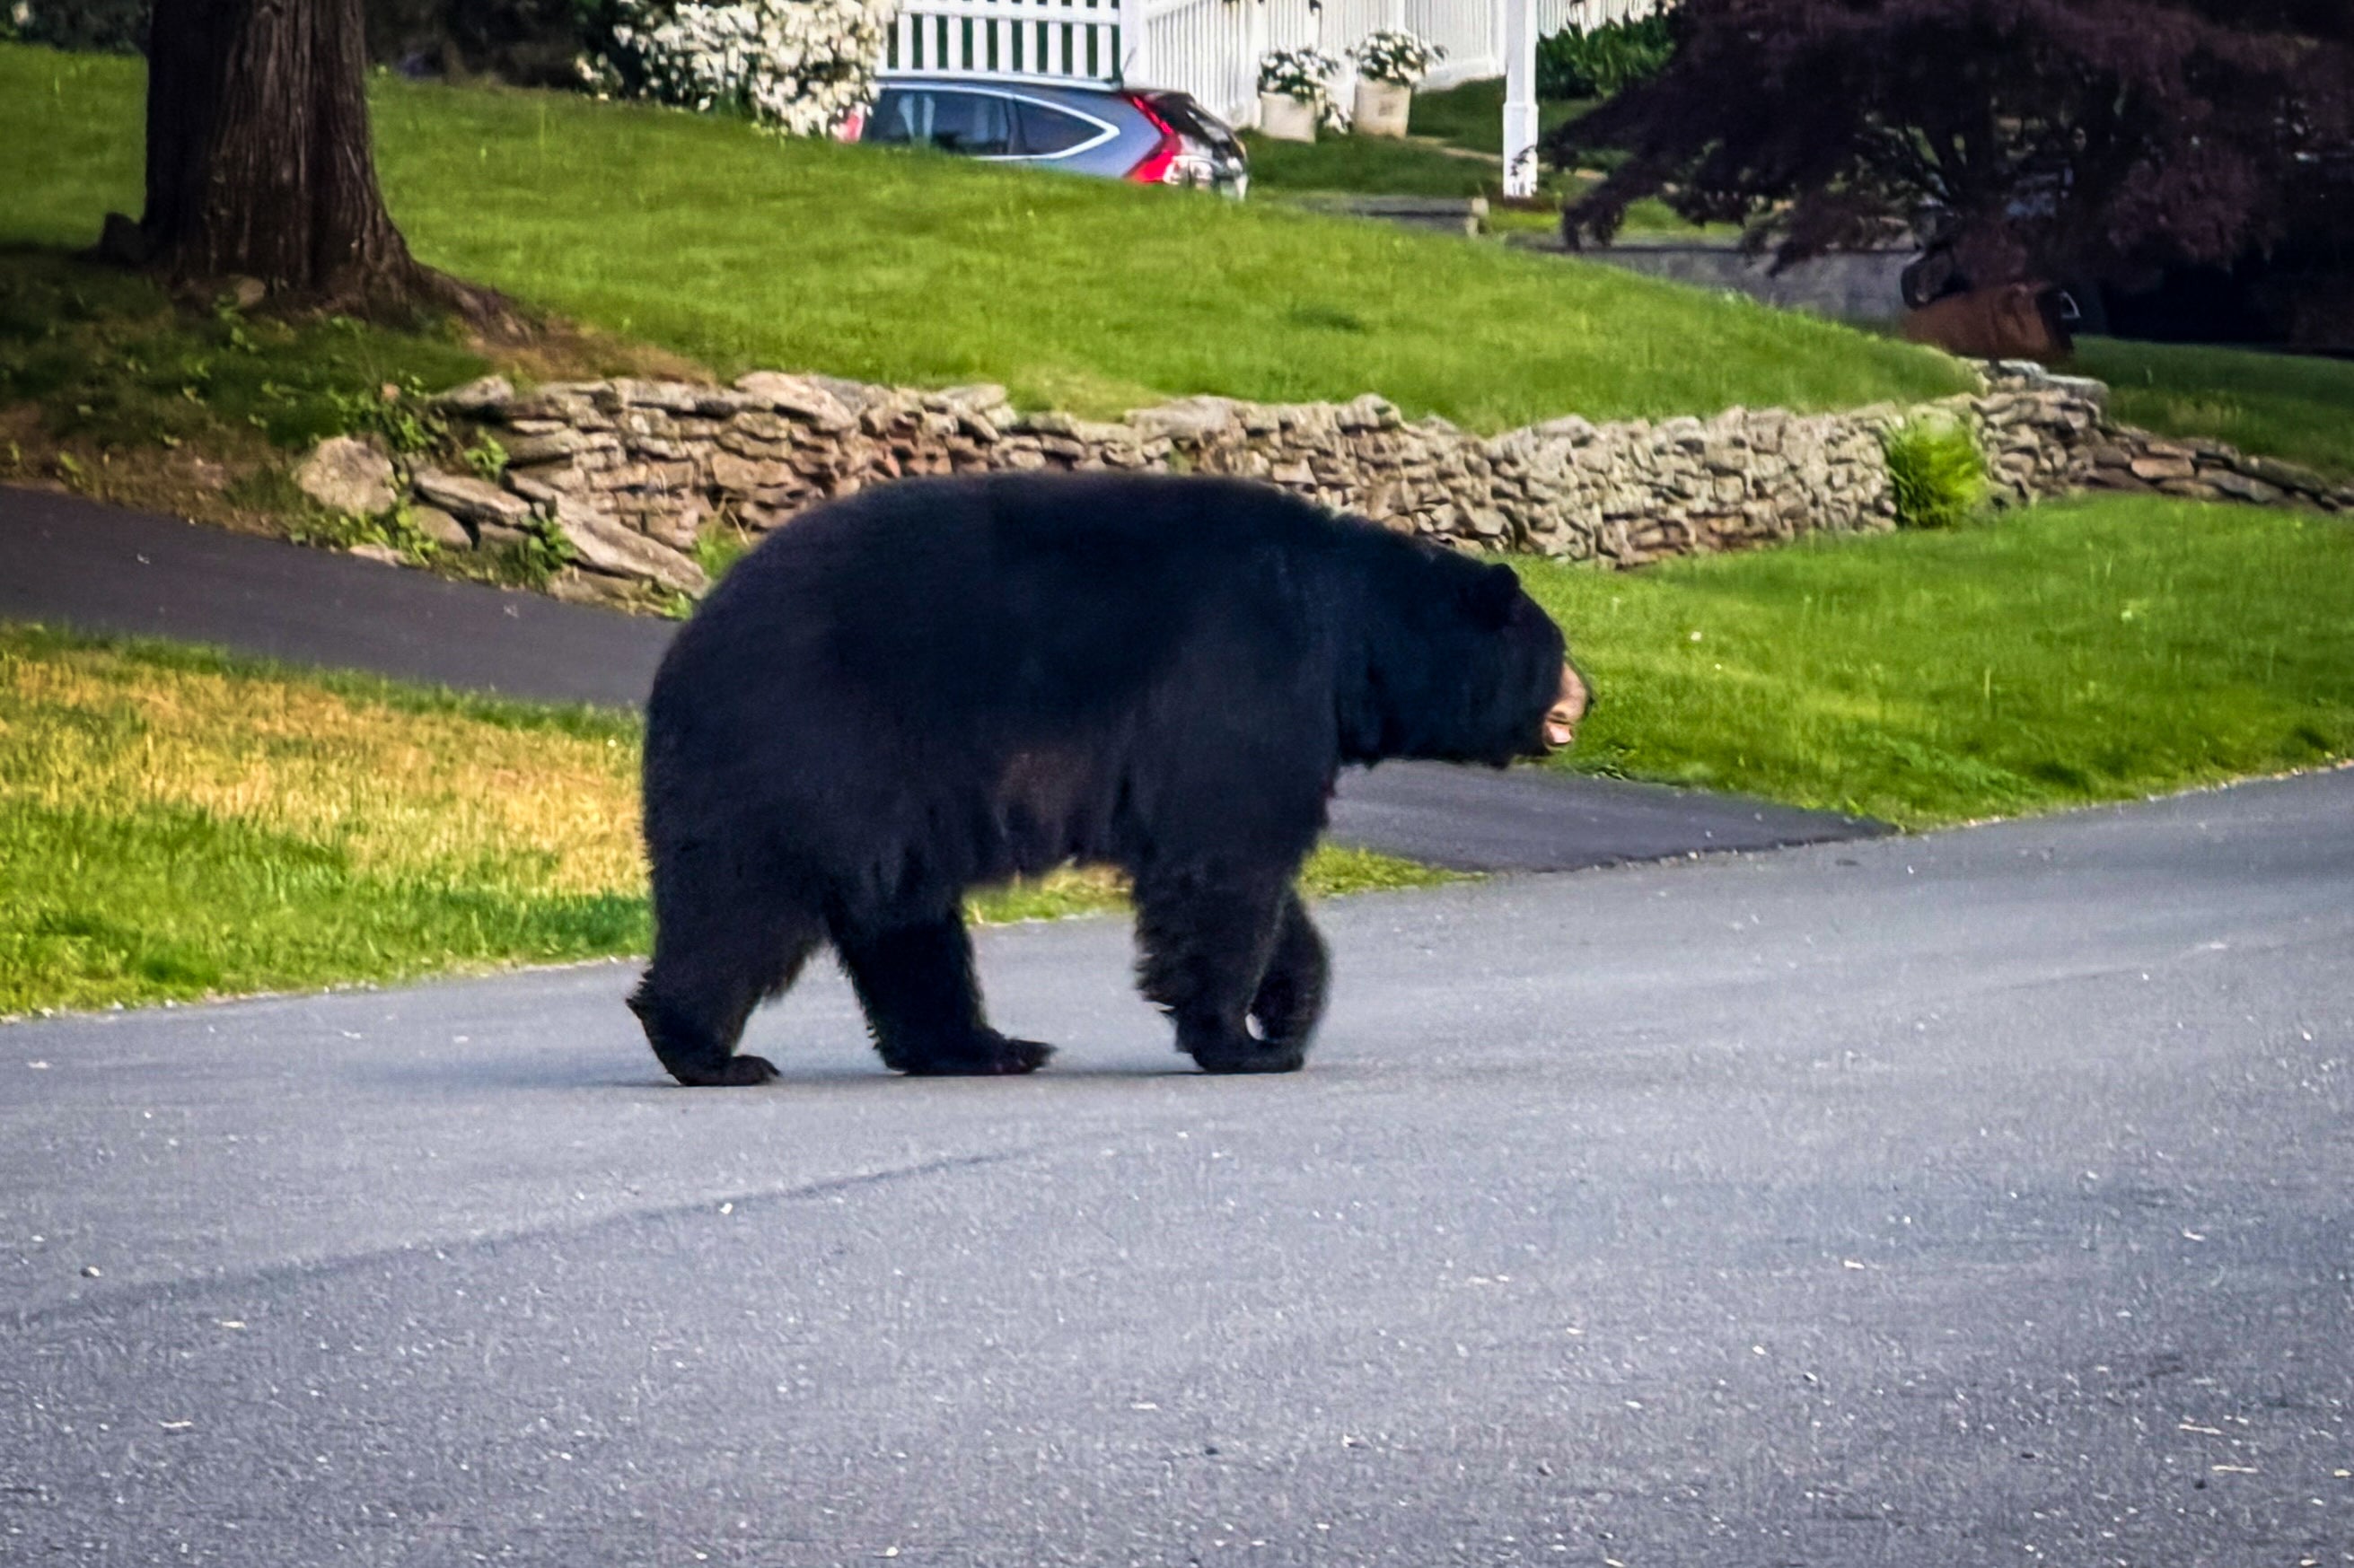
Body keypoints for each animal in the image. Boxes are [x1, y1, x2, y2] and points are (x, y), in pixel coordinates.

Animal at [628, 472, 1587, 1085]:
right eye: (1559, 646)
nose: (1591, 691)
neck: (1353, 636)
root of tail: (688, 640)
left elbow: (1232, 869)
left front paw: (1285, 1008)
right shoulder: (1250, 675)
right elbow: (1228, 861)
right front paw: (1238, 1040)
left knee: (905, 919)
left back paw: (982, 1046)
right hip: (806, 747)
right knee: (747, 899)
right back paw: (707, 1049)